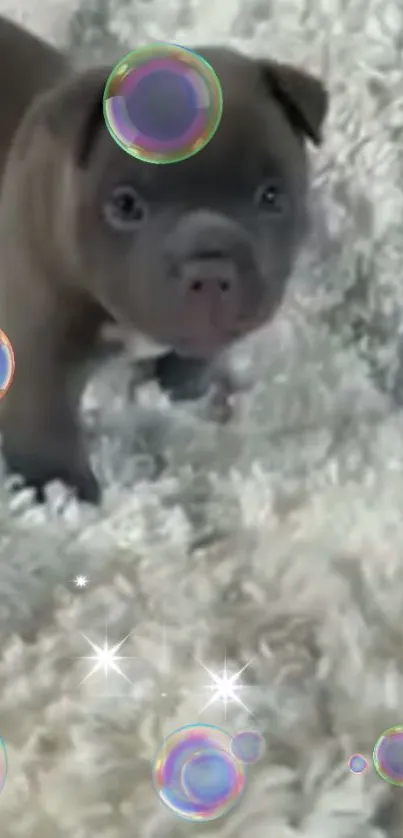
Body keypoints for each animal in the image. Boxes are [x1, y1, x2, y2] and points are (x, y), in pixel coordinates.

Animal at [0, 16, 328, 502]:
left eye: (271, 197)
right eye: (125, 206)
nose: (209, 267)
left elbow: (190, 364)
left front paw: (187, 395)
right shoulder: (36, 344)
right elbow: (45, 427)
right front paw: (66, 496)